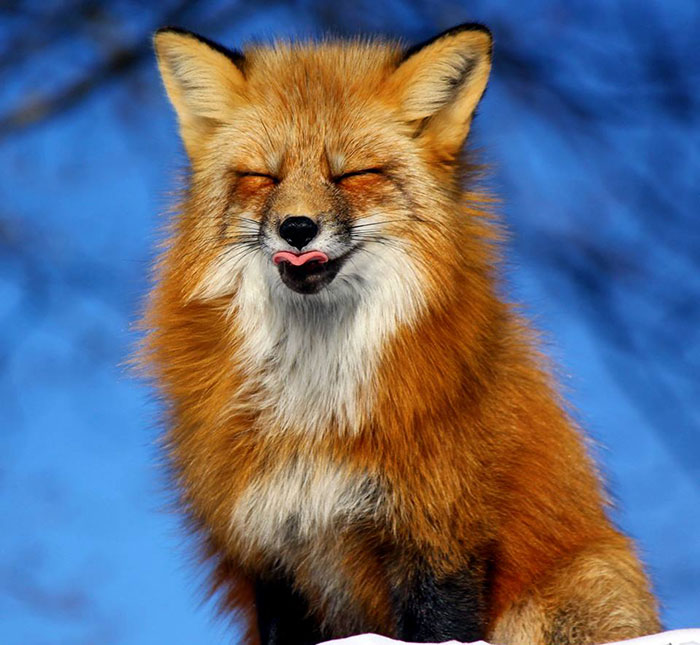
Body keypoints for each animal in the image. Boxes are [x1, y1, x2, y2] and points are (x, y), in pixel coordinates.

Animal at [141, 22, 661, 645]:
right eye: (263, 177)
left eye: (353, 174)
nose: (297, 228)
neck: (314, 403)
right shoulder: (268, 549)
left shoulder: (439, 532)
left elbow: (440, 625)